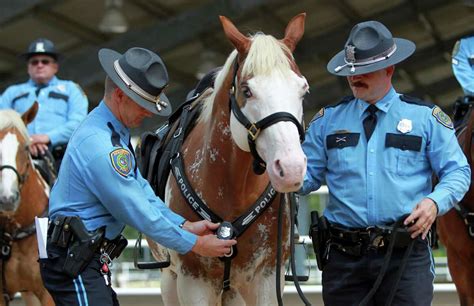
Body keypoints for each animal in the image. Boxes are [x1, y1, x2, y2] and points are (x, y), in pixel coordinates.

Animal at [150, 13, 310, 304]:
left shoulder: (267, 279)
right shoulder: (193, 281)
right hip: (169, 280)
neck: (234, 190)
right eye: (247, 91)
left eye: (303, 90)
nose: (291, 167)